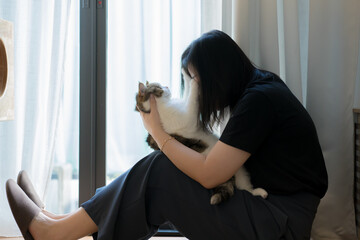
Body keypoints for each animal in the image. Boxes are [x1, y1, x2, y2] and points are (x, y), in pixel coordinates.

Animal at [135, 70, 268, 204]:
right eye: (159, 87)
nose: (167, 87)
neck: (161, 106)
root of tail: (231, 178)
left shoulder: (186, 107)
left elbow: (188, 92)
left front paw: (186, 75)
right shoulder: (188, 116)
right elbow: (192, 97)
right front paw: (194, 81)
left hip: (240, 170)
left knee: (245, 188)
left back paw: (258, 192)